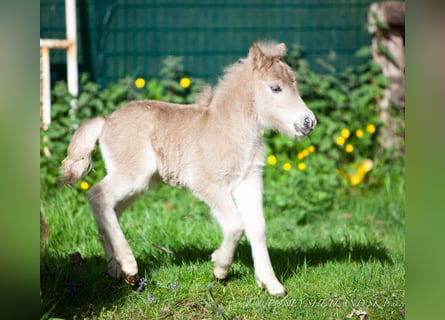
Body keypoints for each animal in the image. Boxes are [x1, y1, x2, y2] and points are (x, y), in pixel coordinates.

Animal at [59, 41, 316, 296]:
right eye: (275, 88)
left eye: (295, 83)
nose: (308, 122)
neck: (230, 129)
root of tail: (106, 120)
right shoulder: (208, 184)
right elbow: (235, 225)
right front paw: (219, 267)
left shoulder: (248, 181)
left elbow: (258, 227)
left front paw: (271, 284)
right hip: (132, 176)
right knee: (97, 195)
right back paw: (130, 266)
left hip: (139, 184)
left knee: (109, 210)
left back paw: (117, 270)